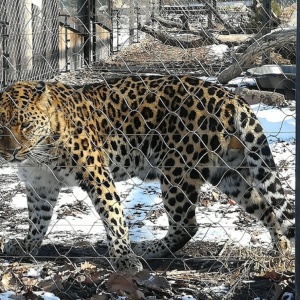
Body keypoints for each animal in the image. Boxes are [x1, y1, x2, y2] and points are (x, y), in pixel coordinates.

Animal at [0, 74, 296, 272]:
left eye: (25, 125)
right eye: (1, 127)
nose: (11, 153)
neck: (39, 154)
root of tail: (231, 97)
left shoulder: (97, 173)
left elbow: (114, 217)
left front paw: (124, 258)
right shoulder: (40, 185)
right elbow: (38, 219)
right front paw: (27, 246)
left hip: (177, 171)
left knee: (186, 225)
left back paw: (147, 250)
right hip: (229, 173)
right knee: (266, 207)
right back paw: (281, 249)